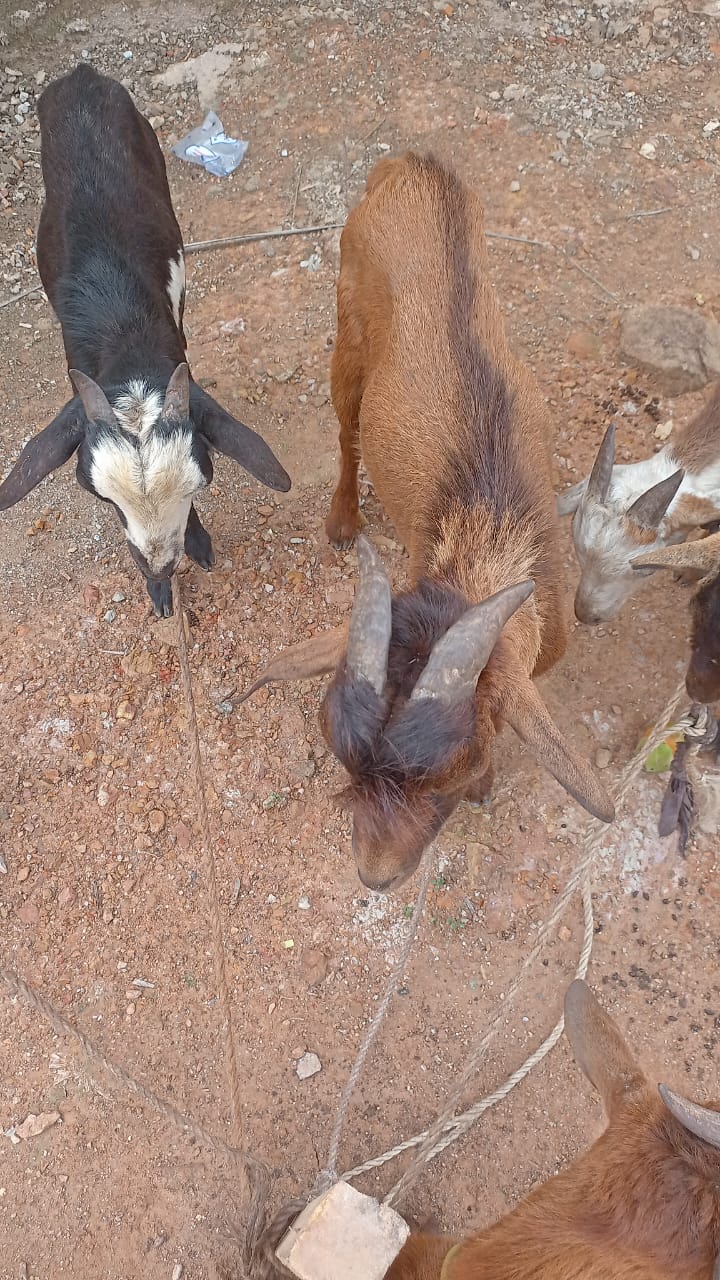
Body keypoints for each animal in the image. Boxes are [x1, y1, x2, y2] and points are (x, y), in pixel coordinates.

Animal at [0, 65, 290, 616]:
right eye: (103, 498)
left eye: (201, 480)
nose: (158, 567)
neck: (123, 328)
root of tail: (82, 75)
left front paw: (192, 544)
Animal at [240, 153, 613, 891]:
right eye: (346, 763)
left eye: (442, 779)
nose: (375, 877)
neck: (484, 532)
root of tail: (411, 164)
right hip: (348, 326)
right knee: (347, 429)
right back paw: (341, 523)